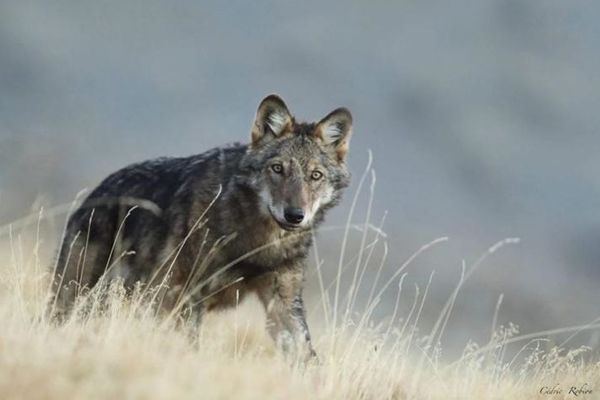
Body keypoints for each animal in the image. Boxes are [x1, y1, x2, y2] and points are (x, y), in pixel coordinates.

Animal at [52, 95, 352, 360]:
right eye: (277, 168)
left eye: (315, 176)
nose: (294, 215)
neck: (258, 243)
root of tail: (94, 194)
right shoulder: (186, 296)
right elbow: (190, 347)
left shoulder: (284, 304)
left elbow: (307, 356)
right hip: (79, 295)